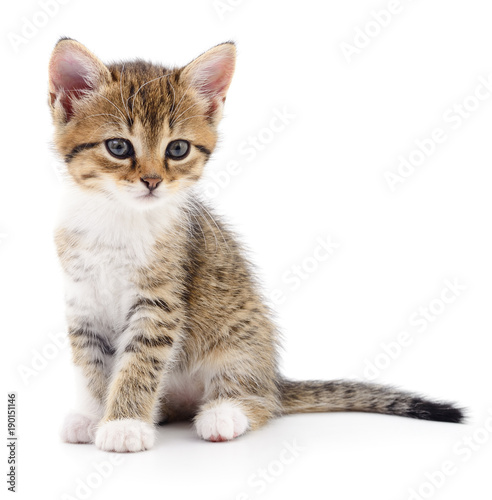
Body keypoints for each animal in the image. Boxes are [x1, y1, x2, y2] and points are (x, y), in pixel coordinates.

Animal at [48, 40, 464, 454]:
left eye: (177, 149)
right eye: (118, 147)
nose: (152, 181)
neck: (116, 217)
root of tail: (274, 379)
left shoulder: (160, 303)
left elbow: (140, 363)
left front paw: (124, 424)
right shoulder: (83, 305)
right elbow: (90, 364)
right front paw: (93, 415)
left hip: (242, 338)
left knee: (262, 400)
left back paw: (226, 413)